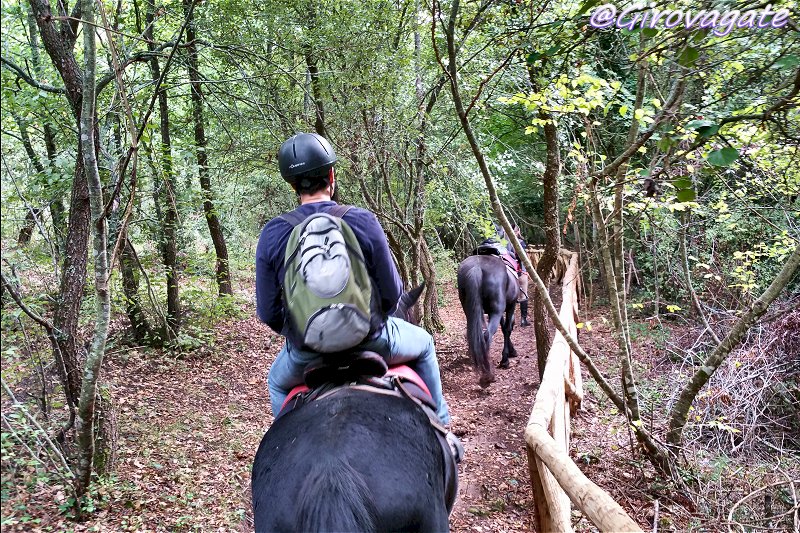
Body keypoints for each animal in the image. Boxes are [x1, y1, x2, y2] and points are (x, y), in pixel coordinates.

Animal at [456, 255, 520, 386]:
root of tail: (477, 267)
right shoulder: (510, 306)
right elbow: (507, 328)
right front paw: (505, 359)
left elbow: (503, 327)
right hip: (497, 310)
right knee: (487, 335)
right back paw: (487, 375)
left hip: (470, 310)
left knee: (476, 334)